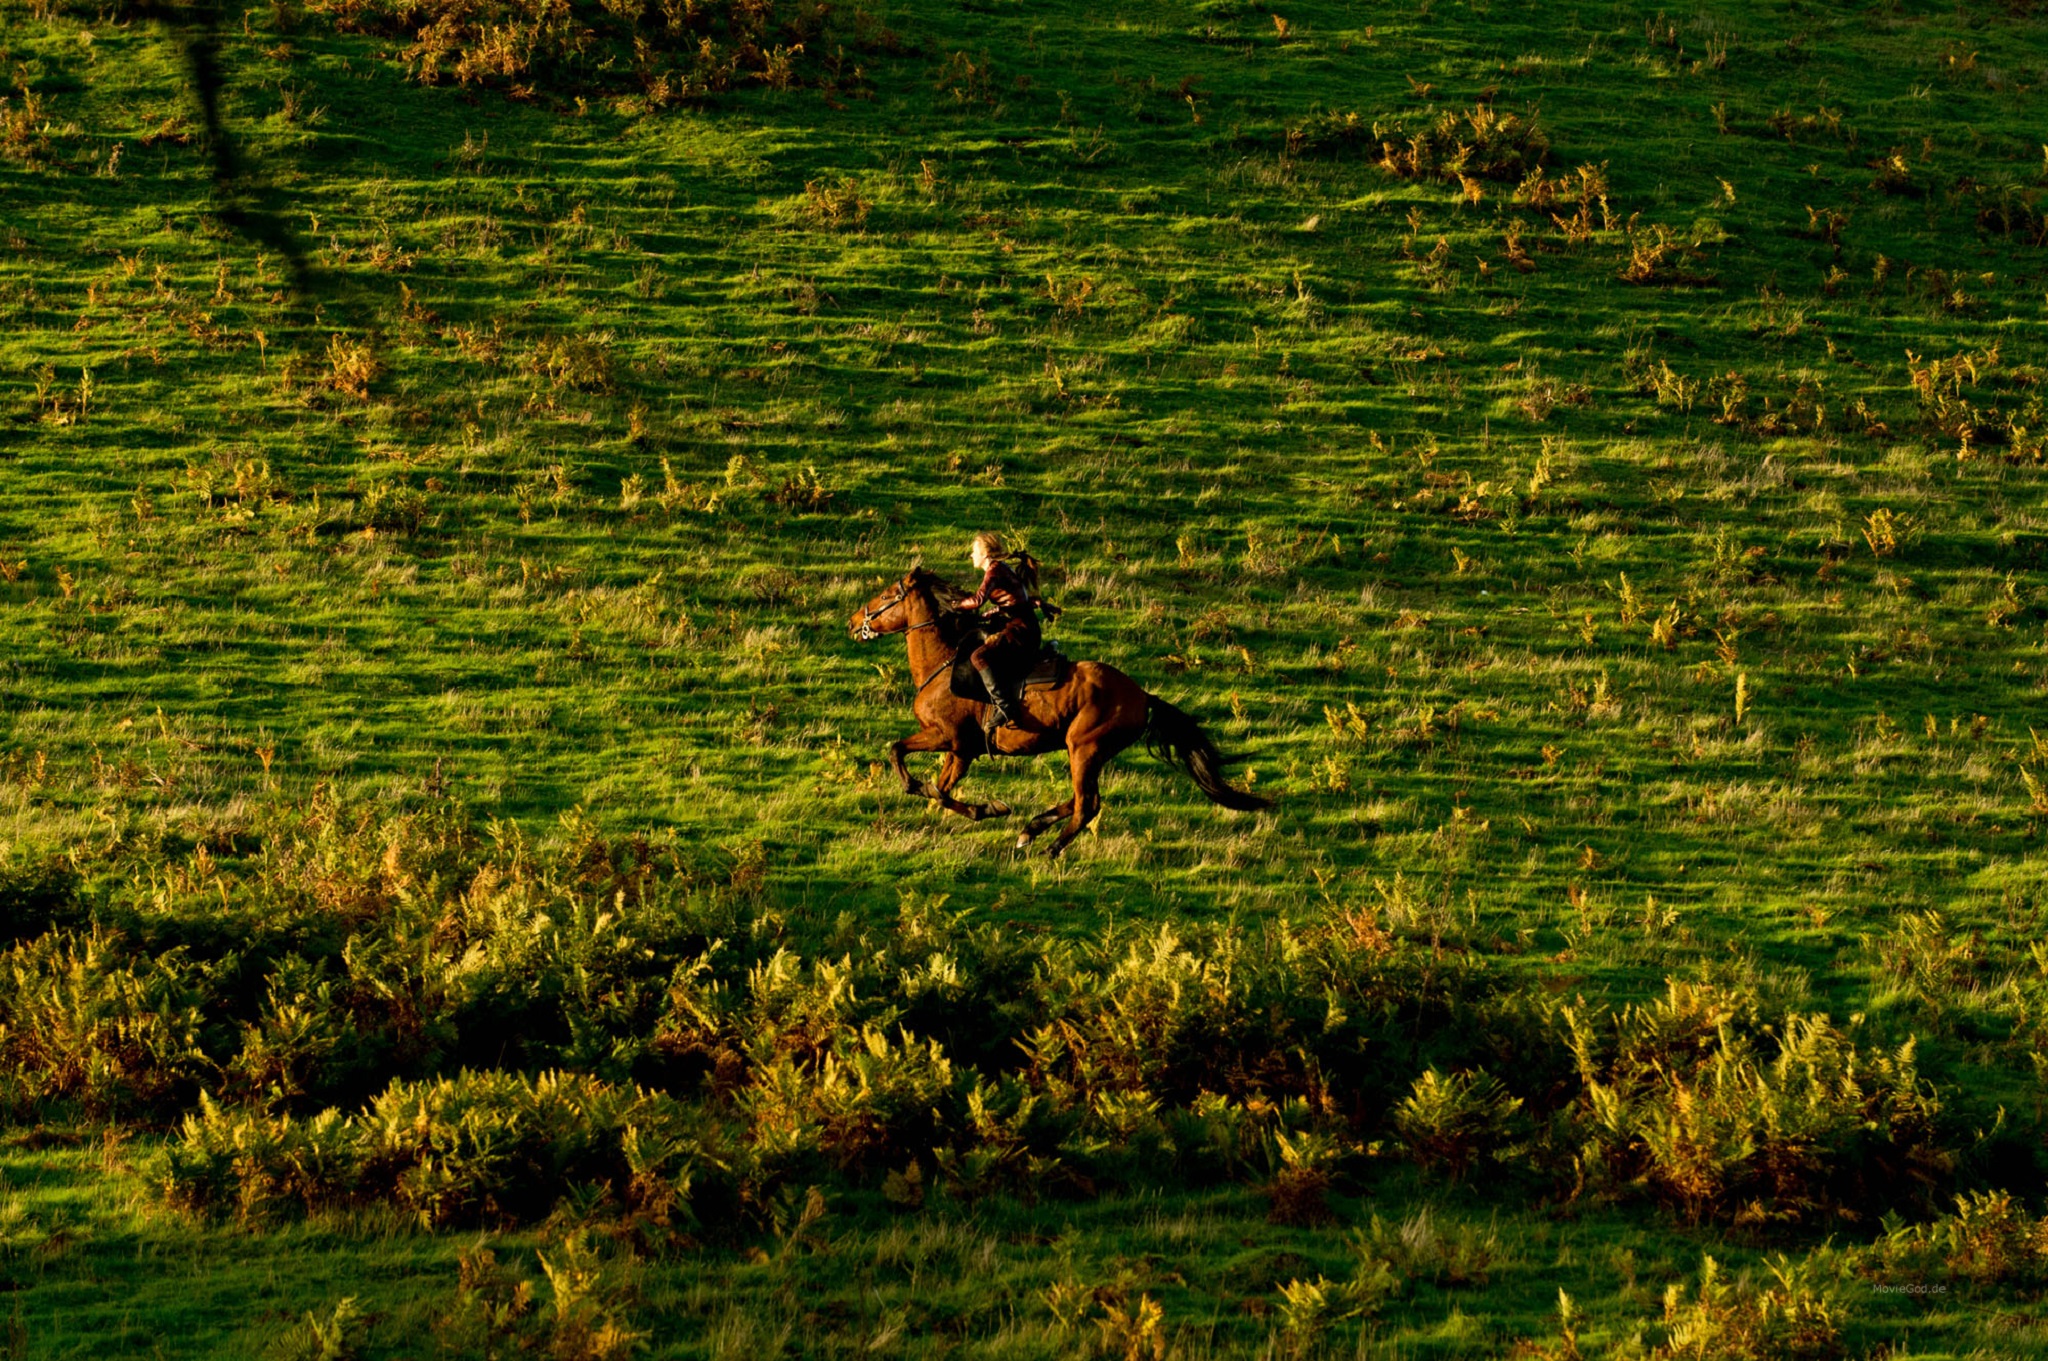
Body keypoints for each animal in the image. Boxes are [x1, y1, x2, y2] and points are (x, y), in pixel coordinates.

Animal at [843, 568, 1261, 855]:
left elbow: (917, 771)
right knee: (1080, 801)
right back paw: (1031, 830)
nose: (852, 622)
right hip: (1089, 752)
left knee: (1087, 804)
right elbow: (935, 786)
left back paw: (1050, 846)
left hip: (1084, 748)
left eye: (887, 594)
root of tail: (1143, 695)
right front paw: (982, 807)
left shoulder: (954, 742)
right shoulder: (959, 749)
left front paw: (988, 807)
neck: (941, 665)